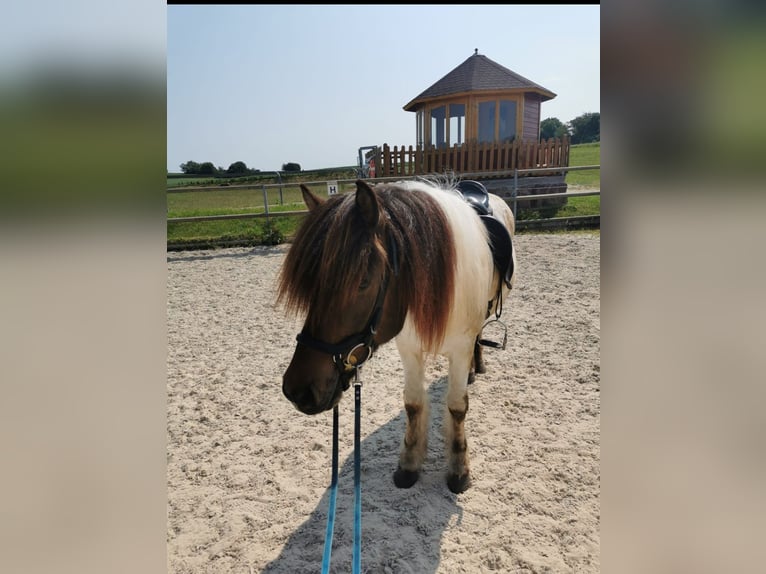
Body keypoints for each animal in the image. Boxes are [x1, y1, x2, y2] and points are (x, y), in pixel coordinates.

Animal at [277, 178, 516, 493]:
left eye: (363, 282)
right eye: (309, 285)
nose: (297, 390)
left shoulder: (461, 348)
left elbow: (456, 406)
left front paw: (459, 470)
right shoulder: (409, 347)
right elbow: (413, 404)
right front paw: (409, 464)